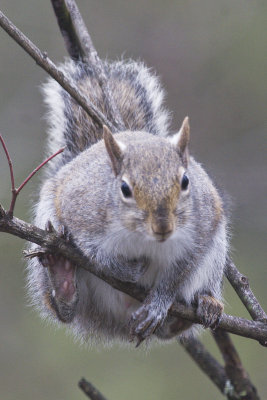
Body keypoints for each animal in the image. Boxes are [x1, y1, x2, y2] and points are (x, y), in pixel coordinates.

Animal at [26, 55, 228, 344]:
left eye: (186, 182)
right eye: (124, 189)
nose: (163, 227)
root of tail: (117, 322)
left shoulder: (200, 232)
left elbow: (179, 274)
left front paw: (158, 303)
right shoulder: (81, 214)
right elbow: (99, 258)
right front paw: (129, 270)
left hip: (216, 254)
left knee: (171, 327)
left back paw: (201, 307)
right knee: (66, 311)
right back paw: (62, 277)